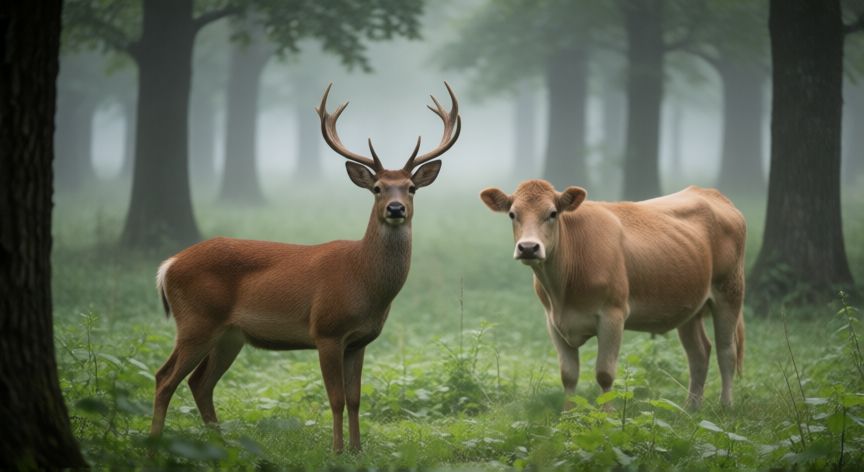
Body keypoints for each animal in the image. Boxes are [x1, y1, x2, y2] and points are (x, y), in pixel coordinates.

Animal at [149, 83, 461, 453]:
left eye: (411, 188)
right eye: (377, 188)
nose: (396, 209)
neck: (363, 279)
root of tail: (168, 265)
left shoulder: (359, 341)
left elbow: (355, 399)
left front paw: (358, 450)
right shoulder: (326, 330)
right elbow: (336, 398)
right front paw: (337, 451)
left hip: (229, 335)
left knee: (199, 383)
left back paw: (220, 445)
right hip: (196, 320)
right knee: (164, 377)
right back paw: (154, 443)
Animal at [480, 180, 746, 409]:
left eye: (553, 213)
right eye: (512, 214)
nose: (528, 248)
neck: (563, 291)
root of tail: (708, 192)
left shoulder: (613, 316)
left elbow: (605, 374)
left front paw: (607, 418)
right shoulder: (553, 322)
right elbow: (568, 375)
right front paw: (568, 416)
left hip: (730, 292)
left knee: (726, 351)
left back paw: (726, 406)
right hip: (689, 306)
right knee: (699, 354)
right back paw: (691, 408)